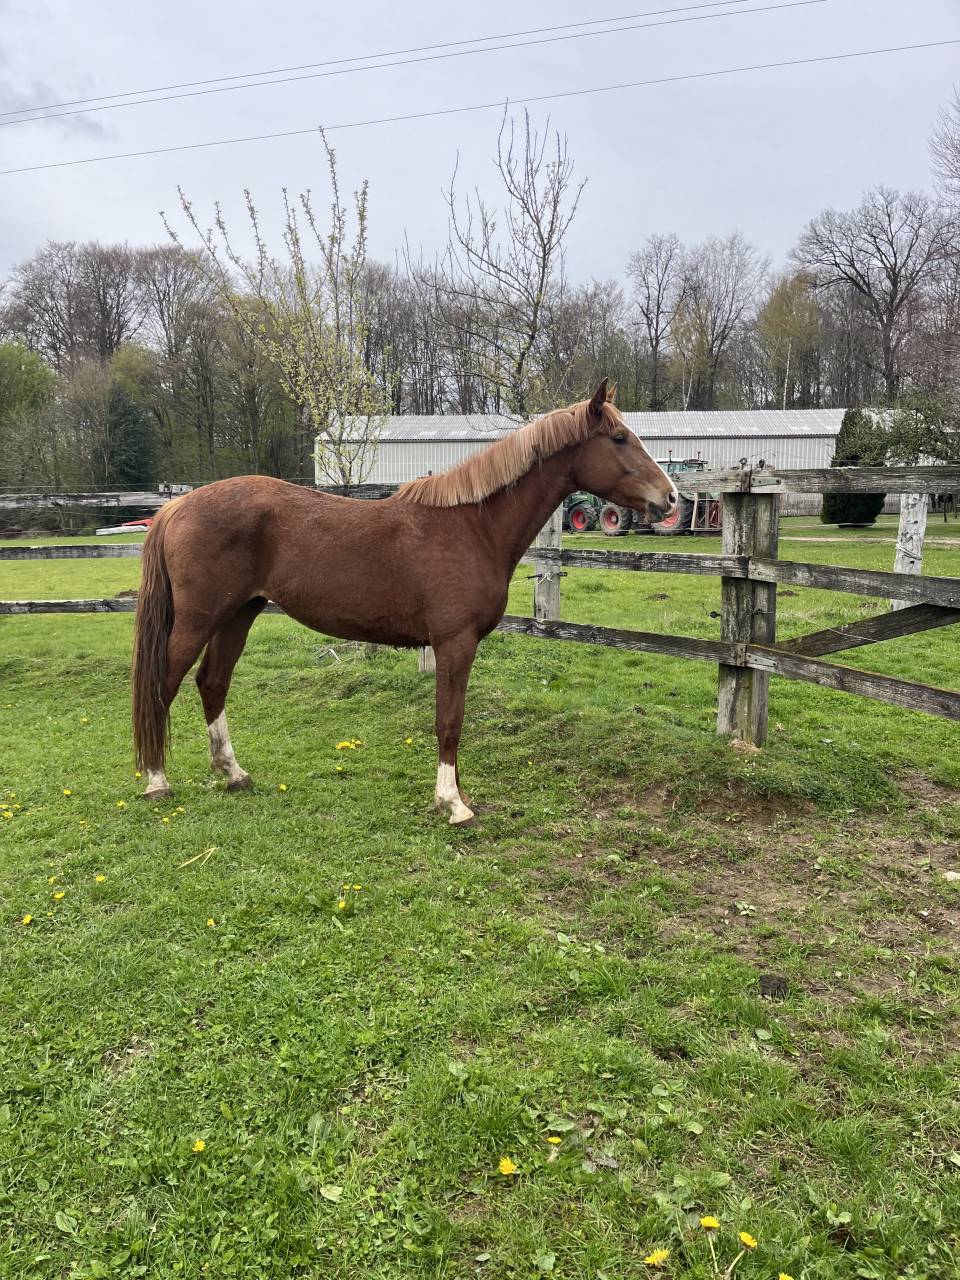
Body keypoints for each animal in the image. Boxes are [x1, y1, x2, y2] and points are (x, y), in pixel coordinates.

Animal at [131, 380, 677, 823]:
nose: (670, 498)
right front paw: (453, 803)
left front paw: (454, 794)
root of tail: (178, 506)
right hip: (200, 619)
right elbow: (449, 721)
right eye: (619, 438)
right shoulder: (455, 643)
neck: (473, 527)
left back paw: (234, 773)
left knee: (212, 683)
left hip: (237, 615)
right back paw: (157, 780)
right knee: (164, 683)